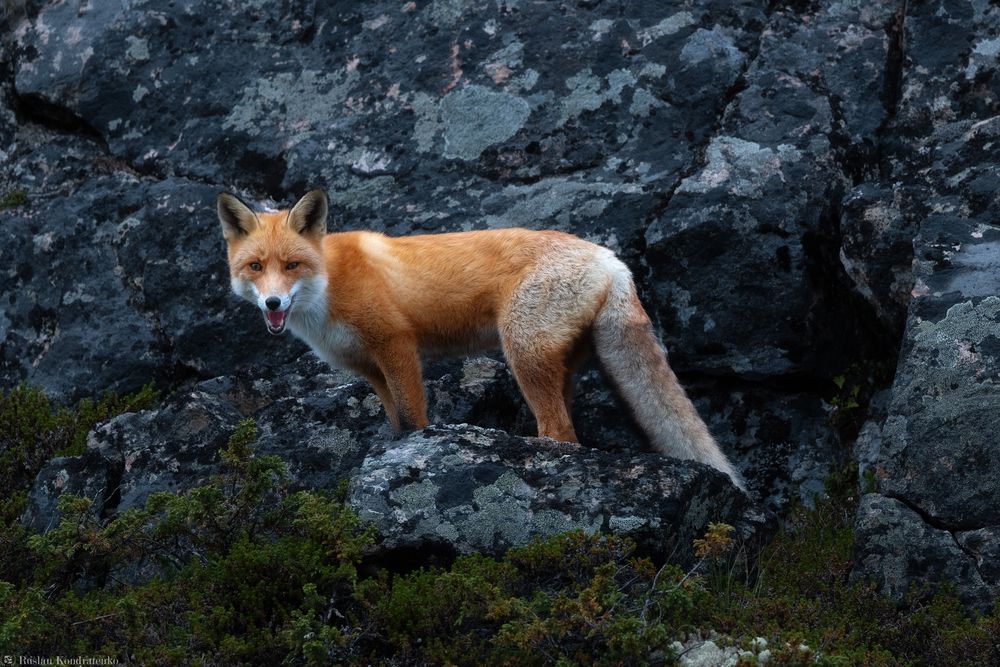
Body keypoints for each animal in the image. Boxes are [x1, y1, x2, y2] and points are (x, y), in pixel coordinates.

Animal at [217, 189, 745, 491]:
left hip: (522, 351)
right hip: (555, 361)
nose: (273, 304)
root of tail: (612, 259)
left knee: (561, 434)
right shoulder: (371, 370)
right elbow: (395, 422)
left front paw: (414, 451)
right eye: (255, 267)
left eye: (292, 265)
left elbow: (414, 419)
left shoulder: (396, 343)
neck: (328, 284)